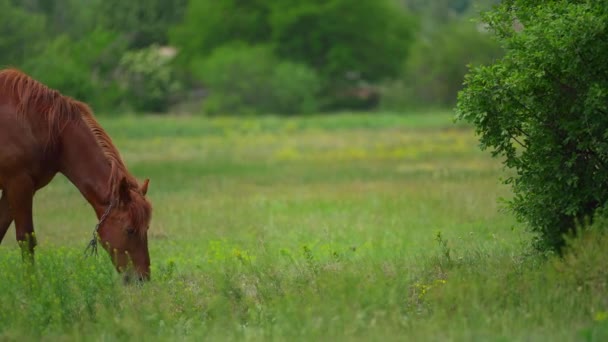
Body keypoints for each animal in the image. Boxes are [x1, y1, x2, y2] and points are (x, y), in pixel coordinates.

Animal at [0, 69, 152, 280]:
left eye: (146, 228)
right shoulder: (18, 185)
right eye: (129, 230)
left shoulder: (12, 190)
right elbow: (26, 239)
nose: (142, 278)